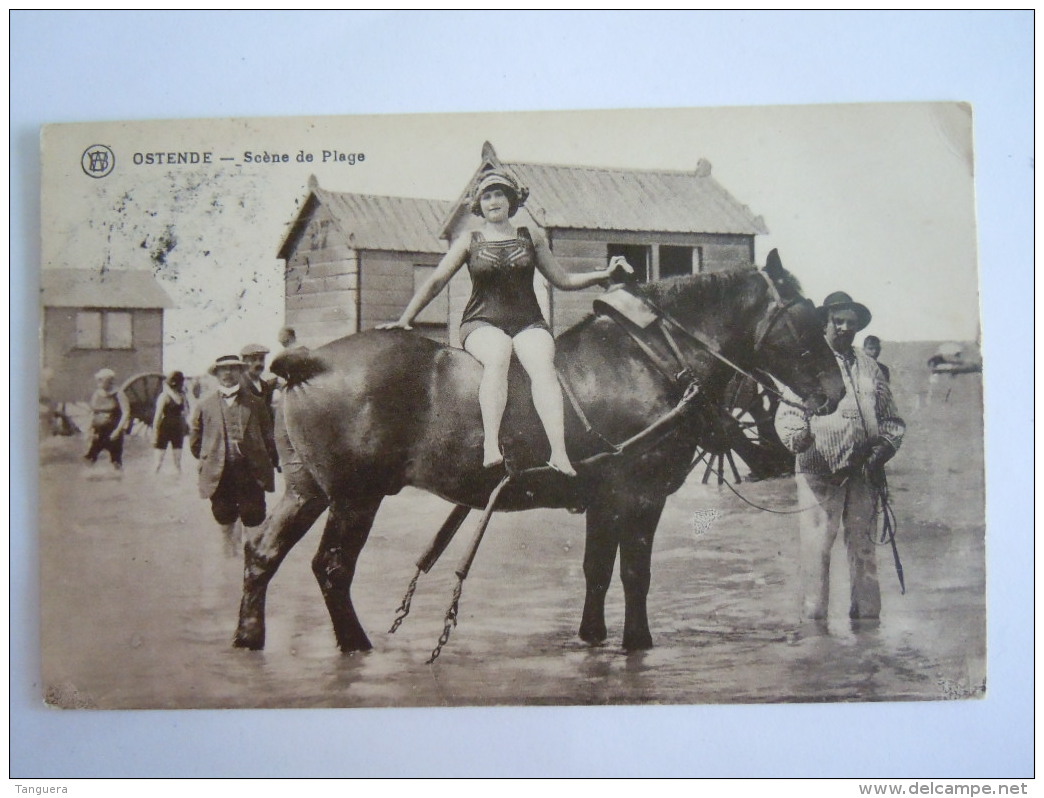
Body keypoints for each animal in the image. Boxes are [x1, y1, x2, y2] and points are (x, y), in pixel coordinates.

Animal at [232, 253, 843, 655]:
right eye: (805, 316)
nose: (834, 393)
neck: (645, 359)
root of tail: (310, 360)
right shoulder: (640, 495)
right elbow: (634, 573)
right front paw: (637, 641)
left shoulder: (605, 499)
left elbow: (597, 569)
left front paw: (593, 636)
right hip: (355, 498)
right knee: (332, 568)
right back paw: (355, 643)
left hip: (307, 490)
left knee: (262, 552)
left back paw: (249, 634)